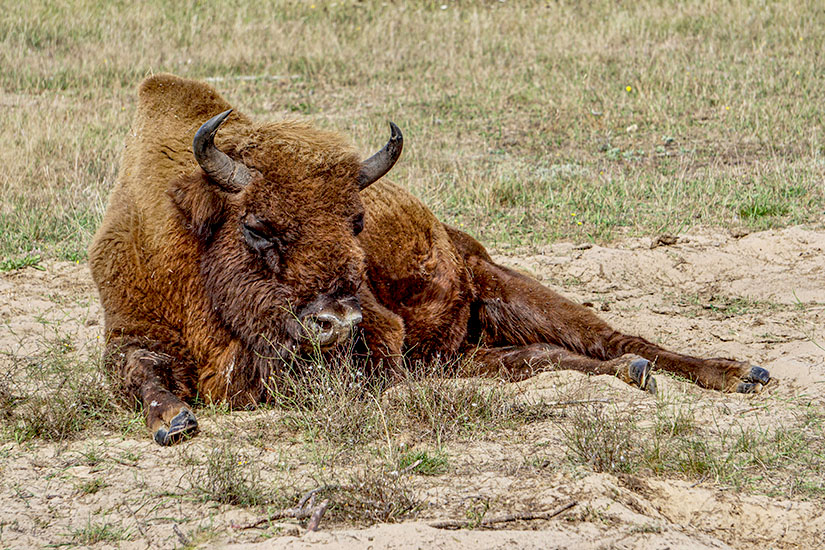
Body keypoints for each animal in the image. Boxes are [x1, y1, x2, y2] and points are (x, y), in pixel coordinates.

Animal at [89, 74, 770, 445]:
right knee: (538, 359)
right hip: (463, 352)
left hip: (509, 287)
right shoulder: (129, 336)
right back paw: (635, 373)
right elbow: (141, 375)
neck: (189, 235)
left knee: (612, 336)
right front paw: (174, 421)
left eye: (357, 222)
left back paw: (733, 372)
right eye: (258, 228)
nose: (339, 321)